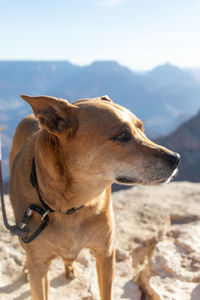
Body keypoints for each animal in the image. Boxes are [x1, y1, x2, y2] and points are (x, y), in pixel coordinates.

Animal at [9, 94, 180, 300]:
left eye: (142, 128)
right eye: (123, 135)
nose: (176, 158)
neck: (70, 205)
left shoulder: (105, 252)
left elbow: (106, 292)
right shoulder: (39, 266)